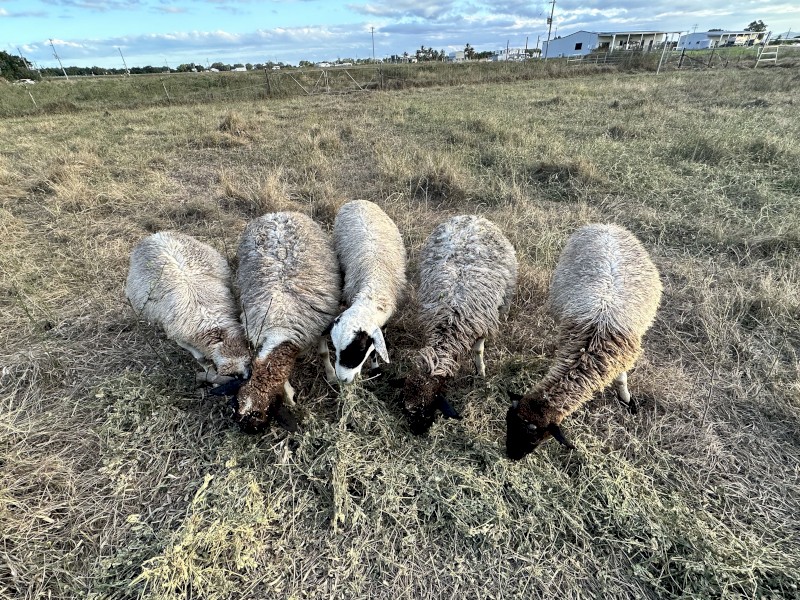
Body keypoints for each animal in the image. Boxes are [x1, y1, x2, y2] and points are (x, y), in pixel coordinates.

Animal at [125, 231, 250, 383]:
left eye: (248, 364)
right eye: (235, 376)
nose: (248, 379)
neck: (207, 317)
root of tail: (156, 235)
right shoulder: (179, 337)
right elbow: (200, 358)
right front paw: (208, 370)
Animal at [232, 211, 341, 433]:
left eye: (257, 414)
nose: (246, 432)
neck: (280, 329)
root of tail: (277, 213)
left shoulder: (319, 326)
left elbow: (324, 353)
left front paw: (332, 376)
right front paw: (290, 397)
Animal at [402, 215, 518, 434]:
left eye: (428, 406)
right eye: (407, 410)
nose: (417, 432)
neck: (450, 321)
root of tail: (470, 216)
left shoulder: (481, 324)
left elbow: (479, 350)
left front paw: (481, 373)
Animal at [506, 223, 662, 459]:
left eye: (536, 438)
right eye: (509, 423)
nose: (510, 456)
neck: (590, 349)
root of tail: (606, 226)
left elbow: (621, 379)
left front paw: (627, 400)